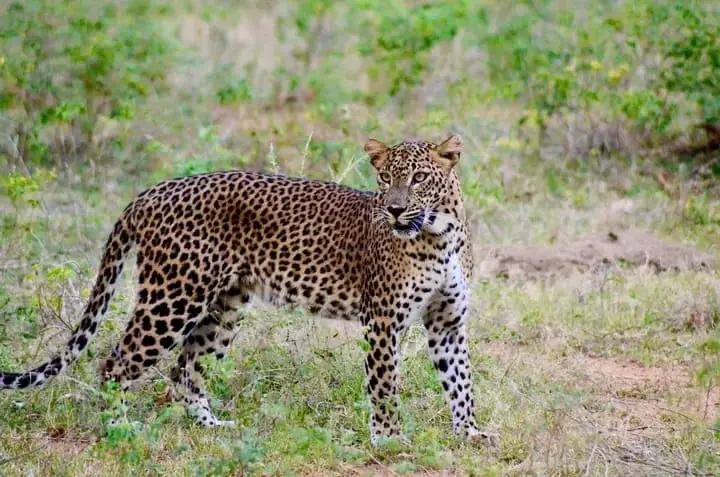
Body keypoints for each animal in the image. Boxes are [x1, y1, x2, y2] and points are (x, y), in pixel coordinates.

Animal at [0, 135, 494, 445]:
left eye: (418, 179)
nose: (392, 210)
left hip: (224, 306)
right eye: (386, 178)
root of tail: (151, 191)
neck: (439, 235)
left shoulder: (448, 323)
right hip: (173, 298)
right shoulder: (383, 321)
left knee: (186, 369)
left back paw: (212, 426)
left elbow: (461, 381)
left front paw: (469, 434)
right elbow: (385, 386)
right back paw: (120, 429)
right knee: (116, 361)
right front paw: (391, 441)